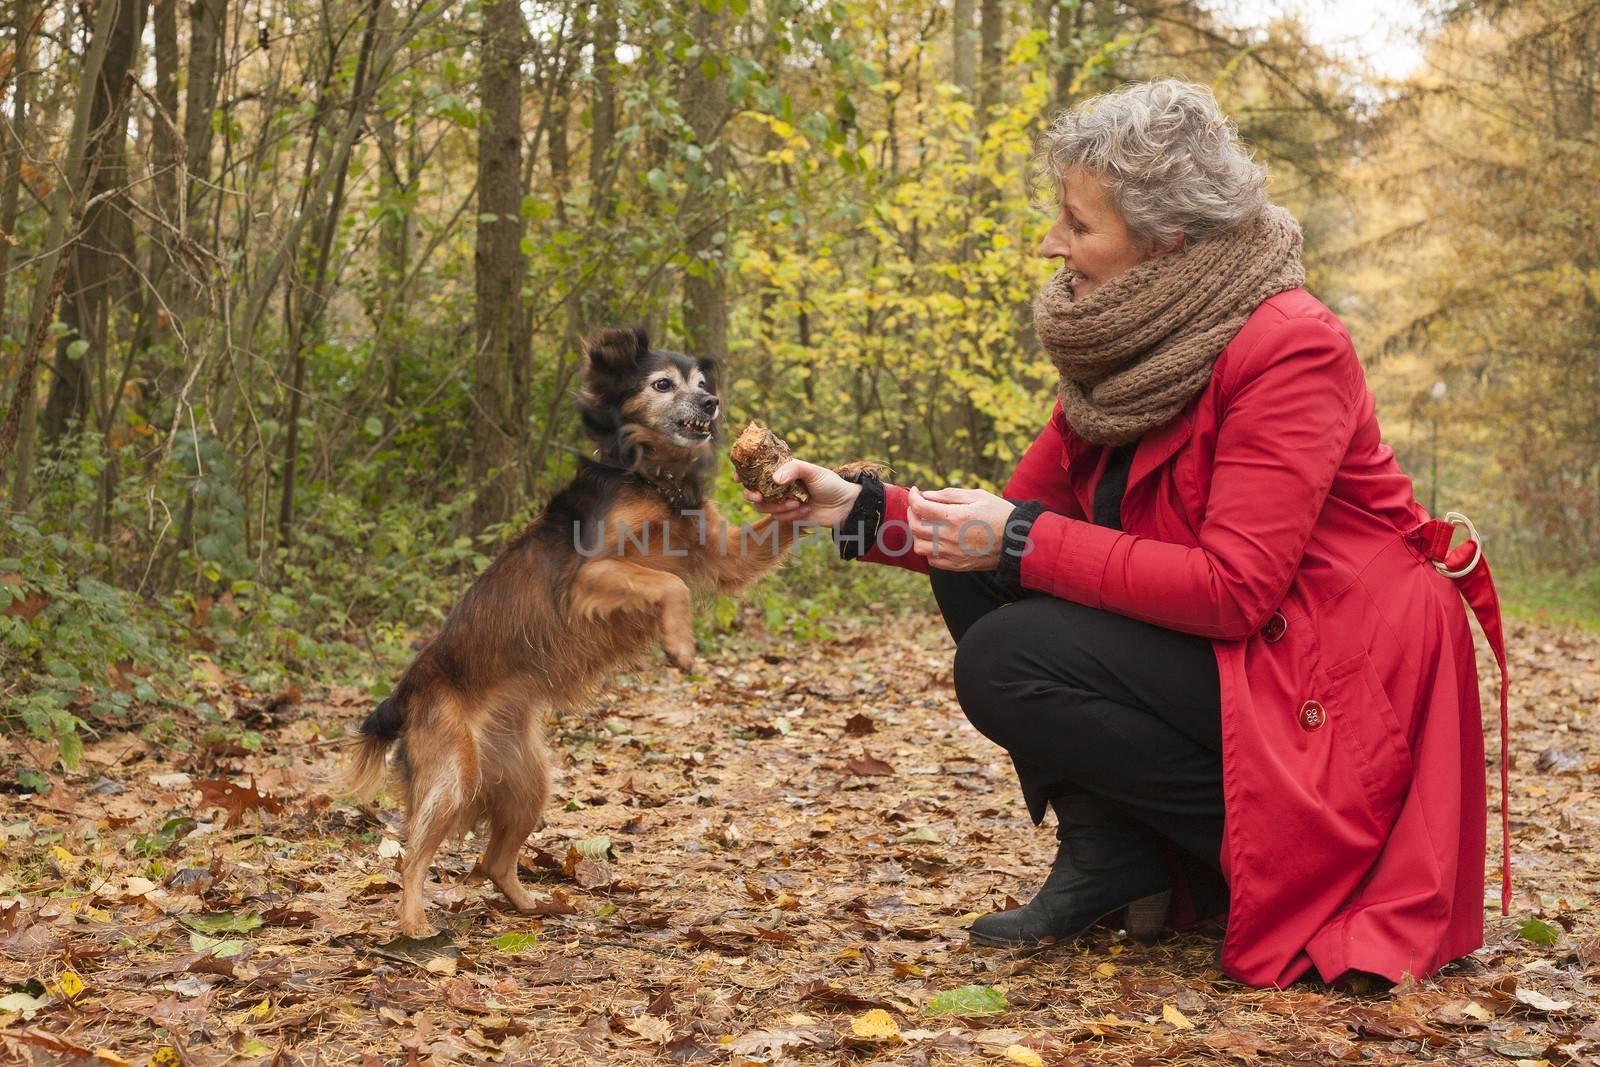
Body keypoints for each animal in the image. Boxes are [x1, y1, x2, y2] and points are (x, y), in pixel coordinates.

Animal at [348, 326, 800, 934]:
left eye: (703, 381)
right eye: (663, 384)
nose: (711, 402)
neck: (652, 478)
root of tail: (403, 695)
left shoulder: (724, 554)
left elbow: (768, 531)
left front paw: (844, 479)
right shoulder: (588, 578)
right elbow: (671, 586)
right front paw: (679, 645)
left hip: (528, 783)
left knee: (494, 861)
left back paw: (537, 906)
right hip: (453, 776)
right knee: (412, 855)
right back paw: (415, 924)